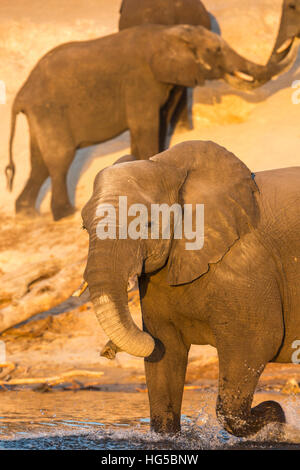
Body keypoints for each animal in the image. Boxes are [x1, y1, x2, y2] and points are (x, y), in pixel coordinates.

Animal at [5, 22, 296, 220]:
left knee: (39, 164)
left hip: (42, 115)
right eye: (215, 51)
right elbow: (145, 126)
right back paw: (65, 213)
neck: (167, 33)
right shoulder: (140, 81)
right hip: (50, 110)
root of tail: (21, 94)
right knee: (60, 158)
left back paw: (27, 214)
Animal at [82, 140, 300, 436]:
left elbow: (258, 341)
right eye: (84, 227)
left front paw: (277, 419)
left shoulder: (246, 266)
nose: (107, 350)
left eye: (145, 224)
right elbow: (166, 350)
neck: (168, 166)